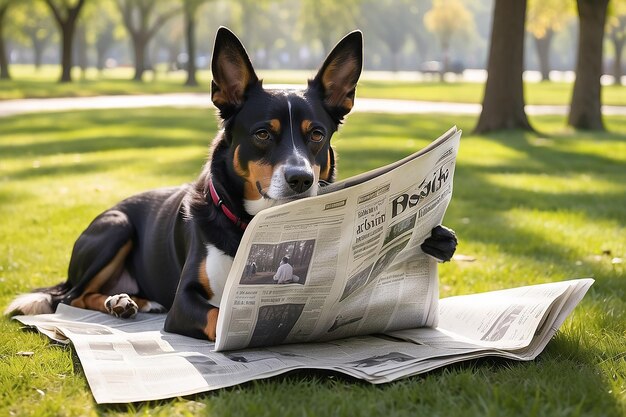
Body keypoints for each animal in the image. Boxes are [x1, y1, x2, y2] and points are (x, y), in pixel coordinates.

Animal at [2, 28, 456, 342]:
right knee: (70, 298)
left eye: (316, 134)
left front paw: (437, 241)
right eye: (262, 134)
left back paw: (134, 301)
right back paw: (119, 302)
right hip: (116, 227)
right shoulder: (186, 302)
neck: (250, 225)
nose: (301, 179)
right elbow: (218, 315)